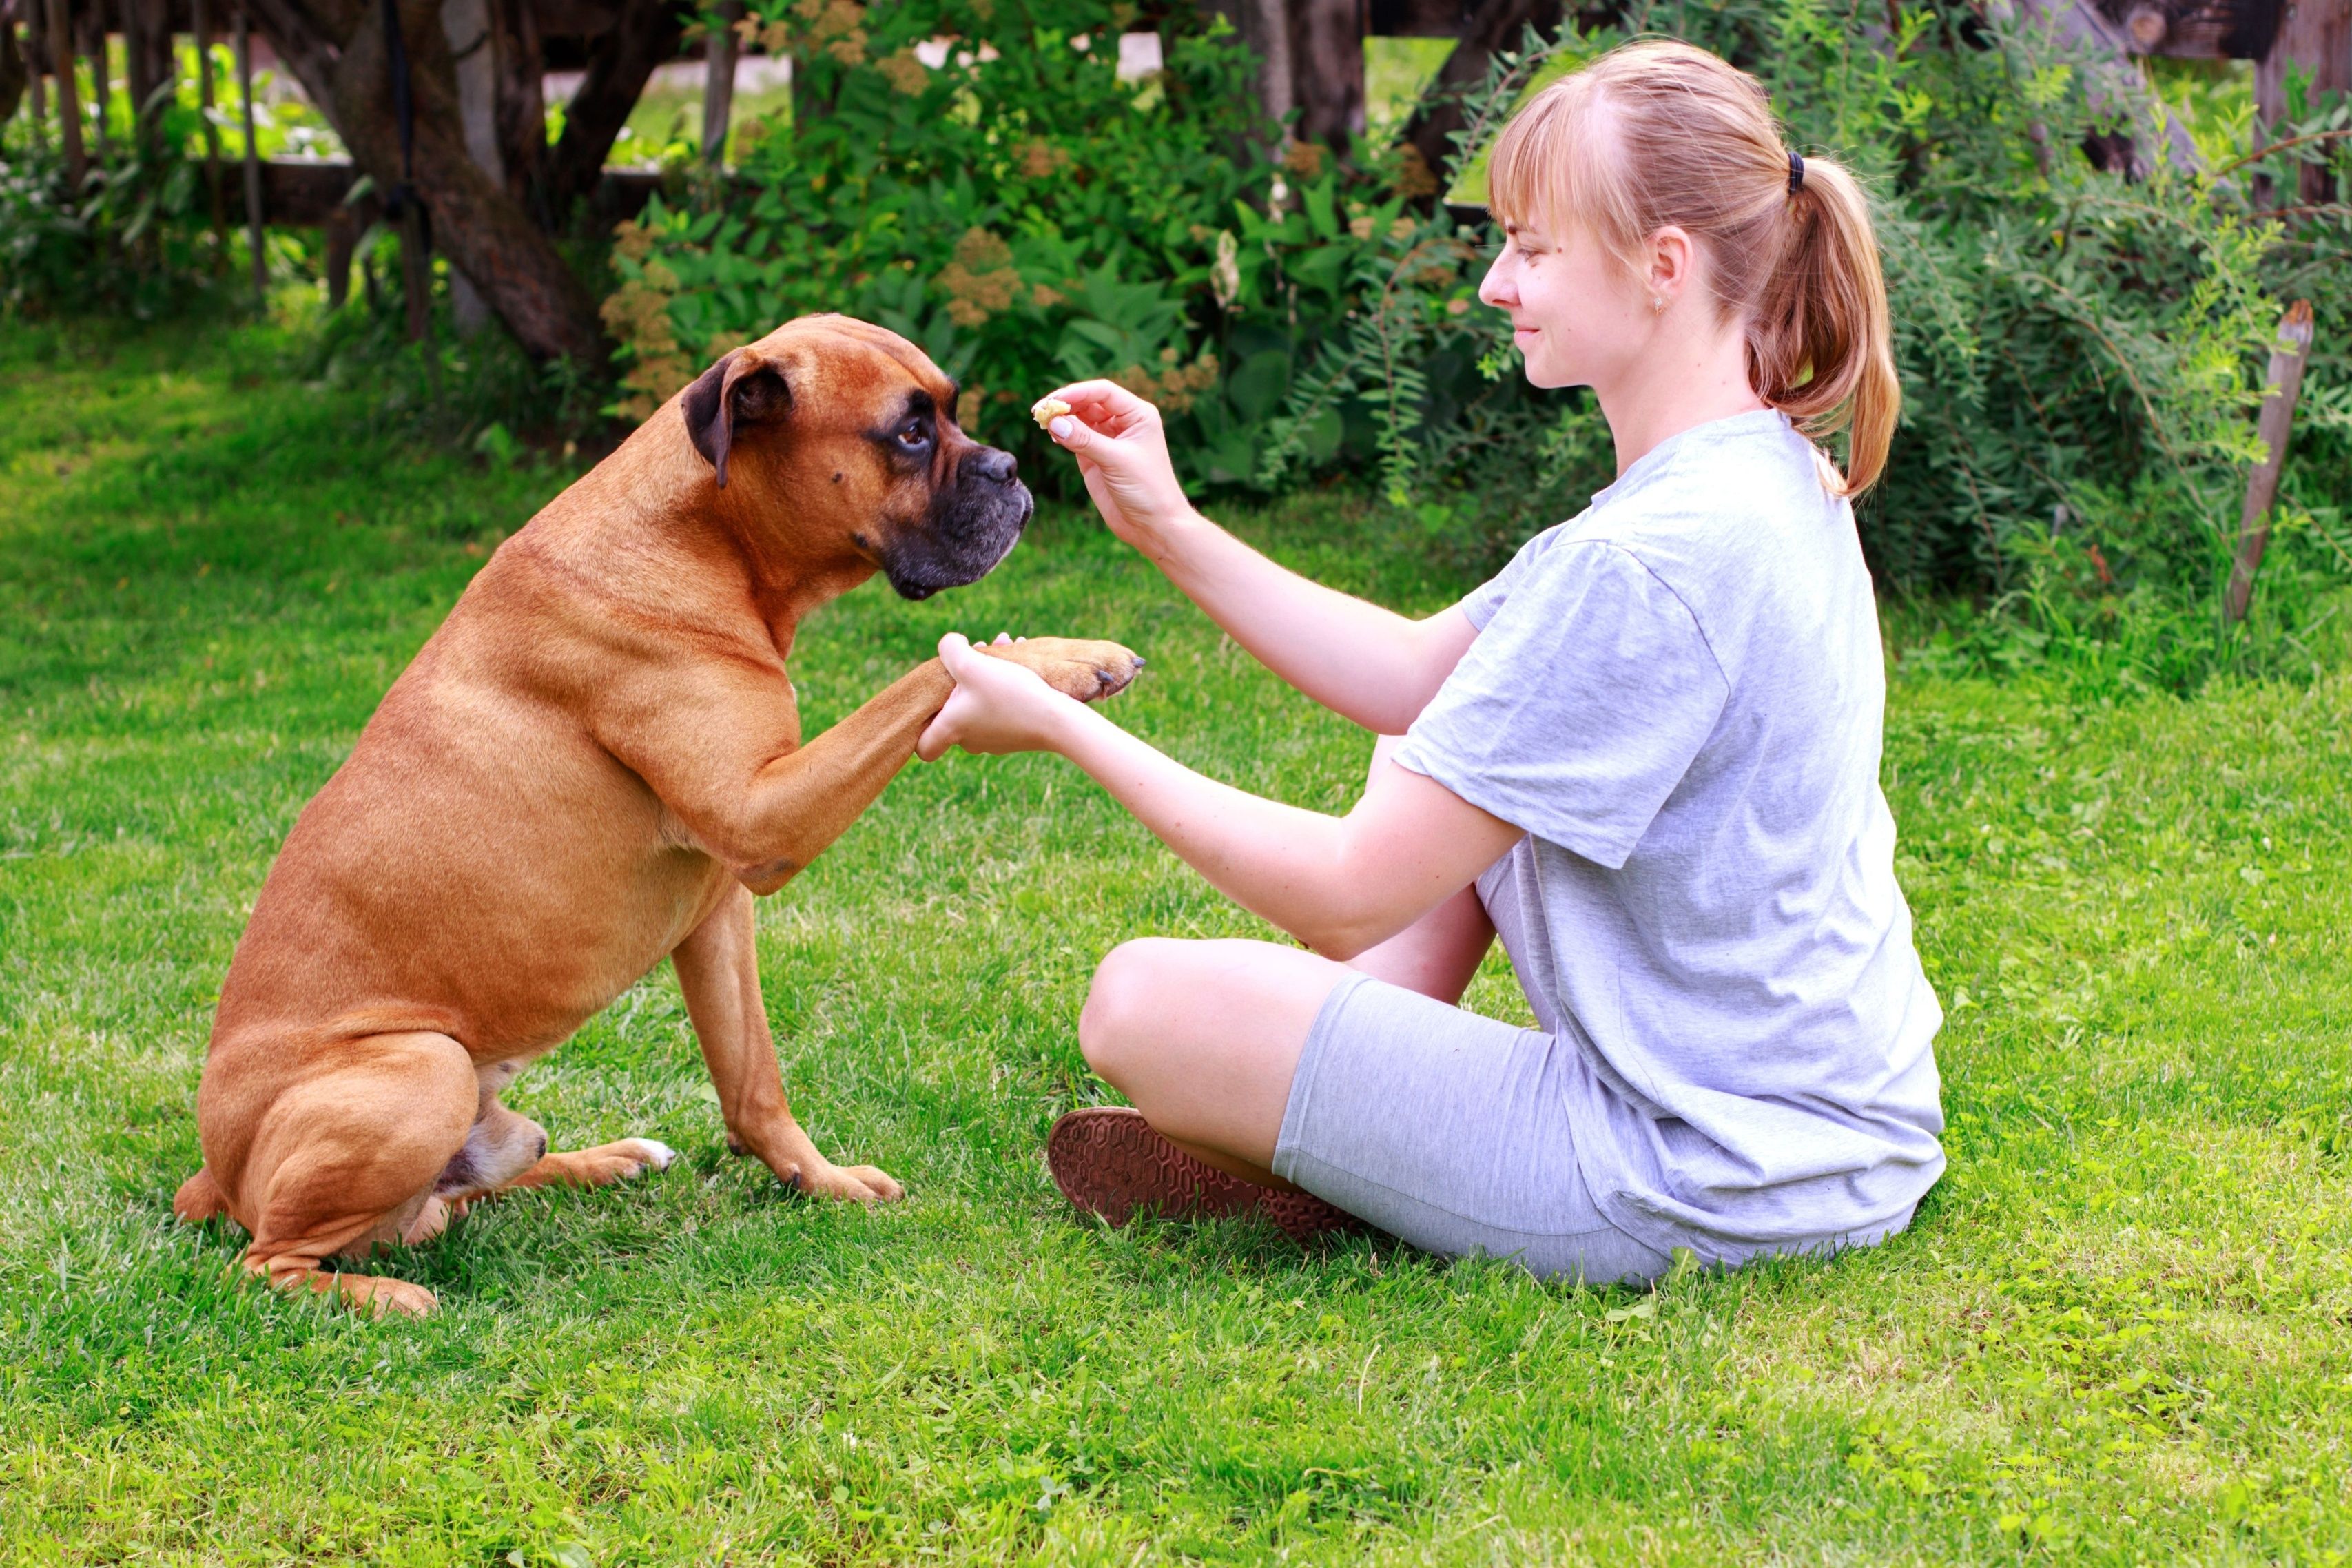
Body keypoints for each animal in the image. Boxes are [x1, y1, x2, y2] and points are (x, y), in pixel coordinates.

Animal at [170, 312, 1143, 1316]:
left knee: (463, 1192)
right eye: (910, 433)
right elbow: (929, 674)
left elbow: (753, 1080)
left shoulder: (717, 910)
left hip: (491, 1119)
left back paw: (608, 1160)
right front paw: (1062, 659)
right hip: (422, 1068)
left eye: (949, 412)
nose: (1010, 470)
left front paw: (818, 1183)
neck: (706, 543)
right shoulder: (762, 821)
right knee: (272, 1263)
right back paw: (386, 1296)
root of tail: (215, 1177)